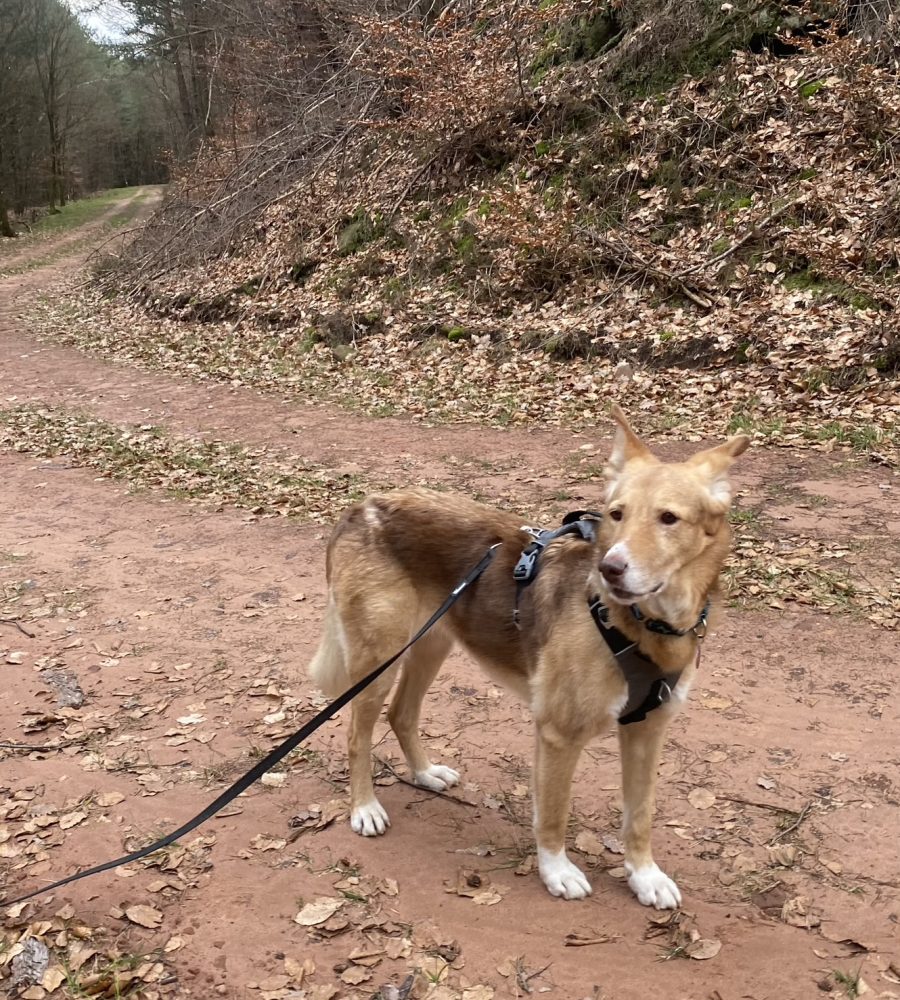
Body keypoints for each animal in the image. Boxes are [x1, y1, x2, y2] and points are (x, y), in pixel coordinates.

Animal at [310, 404, 744, 908]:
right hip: (379, 658)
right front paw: (556, 871)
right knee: (356, 735)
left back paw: (424, 773)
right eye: (616, 514)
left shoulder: (647, 731)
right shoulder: (558, 734)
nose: (609, 568)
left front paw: (644, 875)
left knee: (402, 713)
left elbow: (640, 815)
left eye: (669, 518)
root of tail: (359, 507)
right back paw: (364, 807)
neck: (640, 623)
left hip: (431, 645)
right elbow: (554, 813)